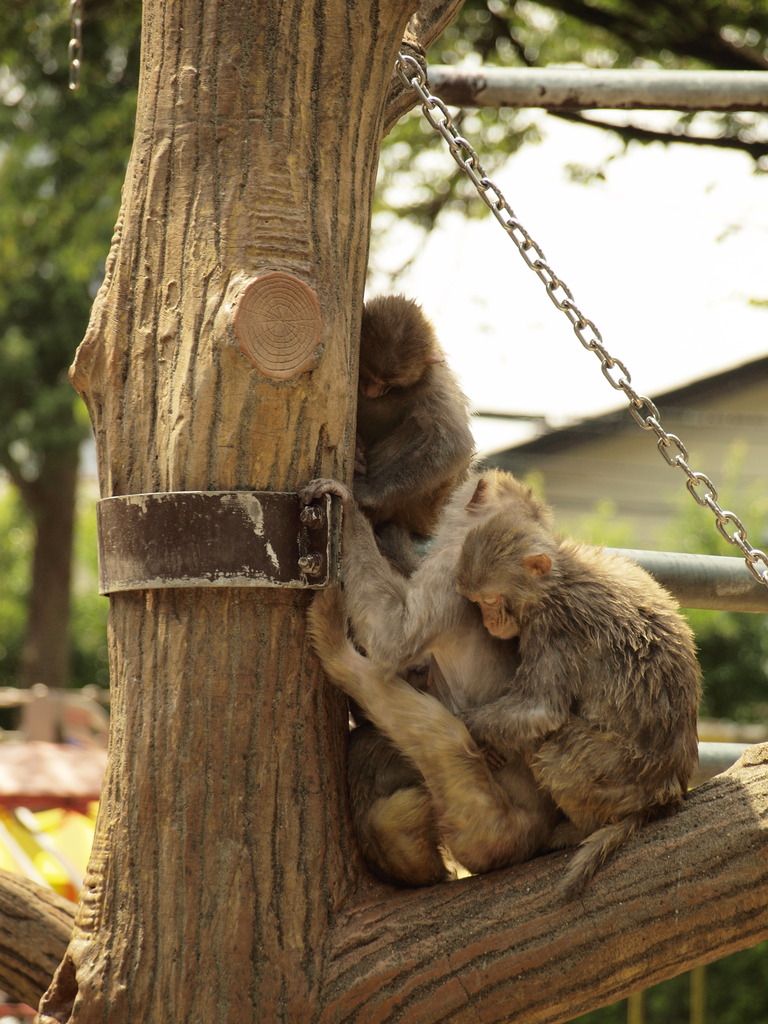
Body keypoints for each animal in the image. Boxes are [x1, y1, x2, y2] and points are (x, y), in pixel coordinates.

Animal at [456, 512, 704, 897]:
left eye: (491, 599)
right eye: (477, 602)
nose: (488, 620)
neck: (558, 579)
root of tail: (667, 792)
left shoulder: (552, 627)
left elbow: (541, 710)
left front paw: (469, 728)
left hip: (617, 775)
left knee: (554, 751)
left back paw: (581, 829)